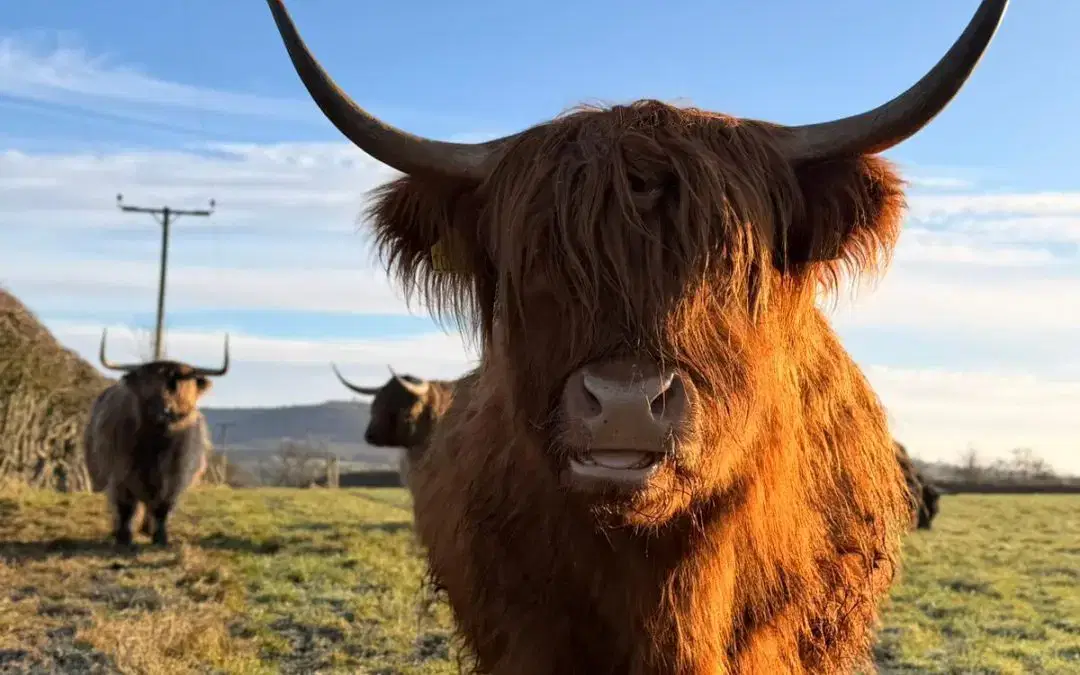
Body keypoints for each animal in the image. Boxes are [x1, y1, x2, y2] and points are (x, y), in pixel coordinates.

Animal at [84, 329, 228, 546]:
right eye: (147, 384)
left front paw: (160, 537)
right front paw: (124, 537)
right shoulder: (120, 473)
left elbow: (163, 508)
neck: (156, 445)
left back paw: (146, 528)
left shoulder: (176, 476)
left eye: (176, 384)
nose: (163, 412)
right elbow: (126, 507)